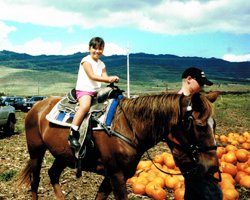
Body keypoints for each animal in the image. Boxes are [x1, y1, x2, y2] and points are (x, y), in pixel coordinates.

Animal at [20, 91, 223, 200]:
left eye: (215, 124)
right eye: (199, 126)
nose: (213, 167)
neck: (129, 126)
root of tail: (36, 106)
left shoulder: (114, 175)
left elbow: (100, 196)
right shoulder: (117, 175)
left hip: (63, 155)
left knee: (53, 173)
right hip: (36, 152)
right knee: (35, 181)